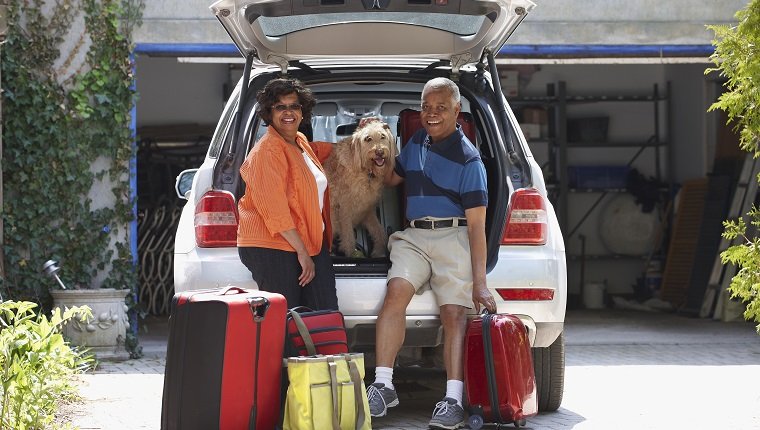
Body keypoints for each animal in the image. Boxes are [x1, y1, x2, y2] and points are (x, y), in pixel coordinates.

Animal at [322, 117, 398, 256]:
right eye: (367, 139)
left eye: (383, 136)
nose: (379, 152)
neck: (367, 172)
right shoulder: (345, 210)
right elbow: (348, 238)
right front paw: (350, 253)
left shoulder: (367, 211)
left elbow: (379, 233)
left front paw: (378, 251)